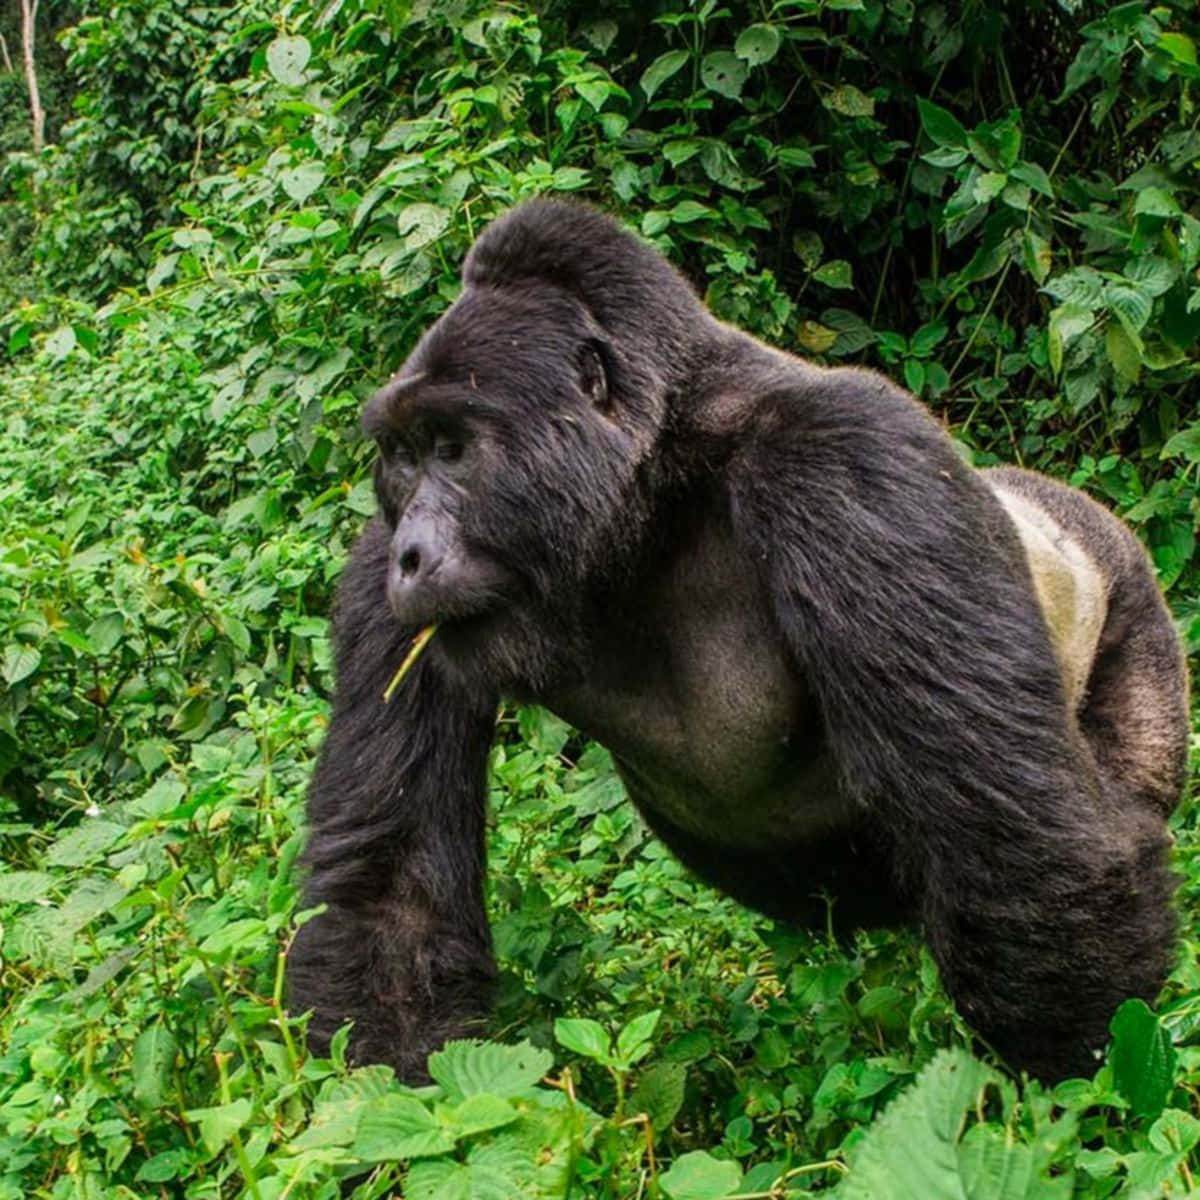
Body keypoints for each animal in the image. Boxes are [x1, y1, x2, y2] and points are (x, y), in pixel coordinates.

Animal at [288, 198, 1190, 1083]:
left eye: (453, 447)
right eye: (401, 457)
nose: (410, 555)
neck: (649, 485)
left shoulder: (849, 460)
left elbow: (1017, 838)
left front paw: (1078, 1098)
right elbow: (393, 891)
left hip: (1132, 601)